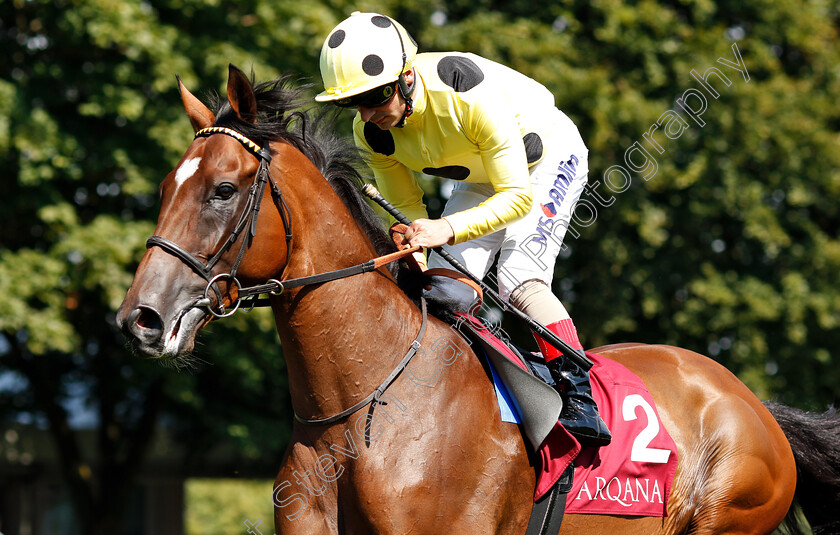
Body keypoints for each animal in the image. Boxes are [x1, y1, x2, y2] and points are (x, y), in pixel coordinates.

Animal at [118, 67, 840, 535]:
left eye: (223, 189)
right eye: (166, 186)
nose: (141, 318)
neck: (364, 406)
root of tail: (754, 404)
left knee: (522, 274)